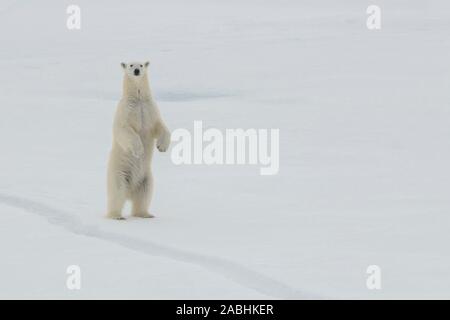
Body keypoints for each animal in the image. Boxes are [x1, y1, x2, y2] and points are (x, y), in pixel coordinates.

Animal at [106, 61, 171, 219]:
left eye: (141, 65)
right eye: (130, 65)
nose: (136, 70)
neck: (138, 99)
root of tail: (130, 192)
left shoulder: (150, 109)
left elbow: (160, 126)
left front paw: (162, 147)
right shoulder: (125, 110)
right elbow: (124, 129)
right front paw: (139, 150)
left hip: (145, 178)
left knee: (144, 194)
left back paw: (145, 214)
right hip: (119, 172)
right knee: (117, 192)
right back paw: (116, 215)